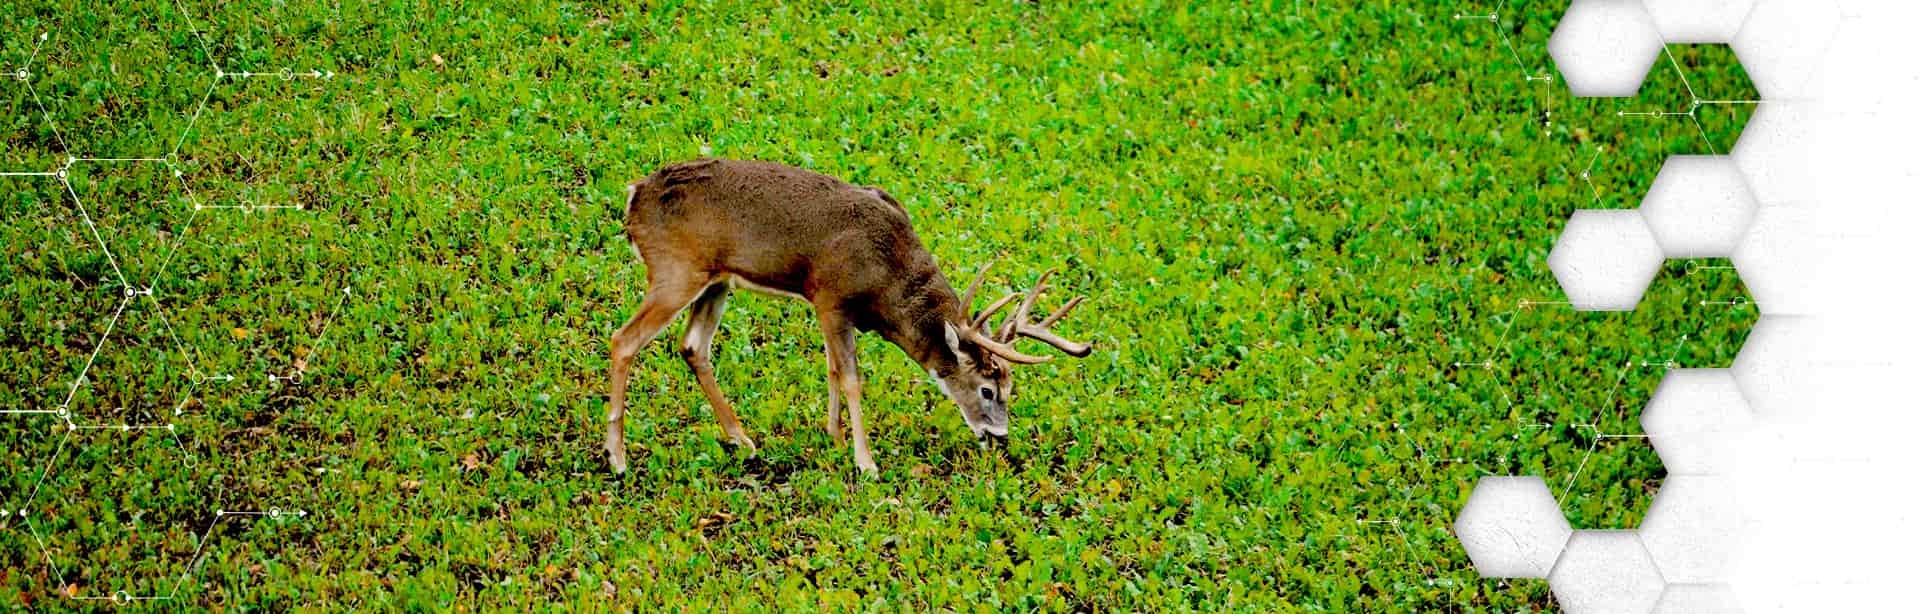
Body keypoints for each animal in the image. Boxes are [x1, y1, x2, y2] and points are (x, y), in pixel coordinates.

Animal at [606, 158, 1093, 475]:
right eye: (987, 390)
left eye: (1011, 388)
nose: (1000, 436)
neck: (888, 276)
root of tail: (634, 197)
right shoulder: (831, 297)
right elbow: (852, 377)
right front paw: (866, 462)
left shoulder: (832, 310)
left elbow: (832, 369)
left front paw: (835, 436)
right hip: (675, 269)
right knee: (623, 339)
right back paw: (618, 458)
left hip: (716, 279)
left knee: (693, 347)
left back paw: (742, 440)